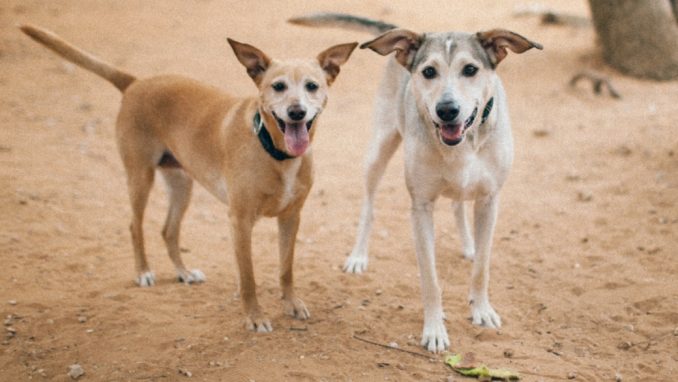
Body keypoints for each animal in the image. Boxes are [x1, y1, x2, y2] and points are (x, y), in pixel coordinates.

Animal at [19, 24, 362, 332]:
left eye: (312, 86)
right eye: (278, 87)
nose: (296, 112)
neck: (275, 152)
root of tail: (136, 82)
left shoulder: (291, 217)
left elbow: (286, 269)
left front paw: (291, 303)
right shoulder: (239, 221)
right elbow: (248, 278)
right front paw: (254, 317)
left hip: (181, 184)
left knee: (168, 230)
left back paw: (183, 273)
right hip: (140, 176)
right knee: (135, 226)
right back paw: (143, 272)